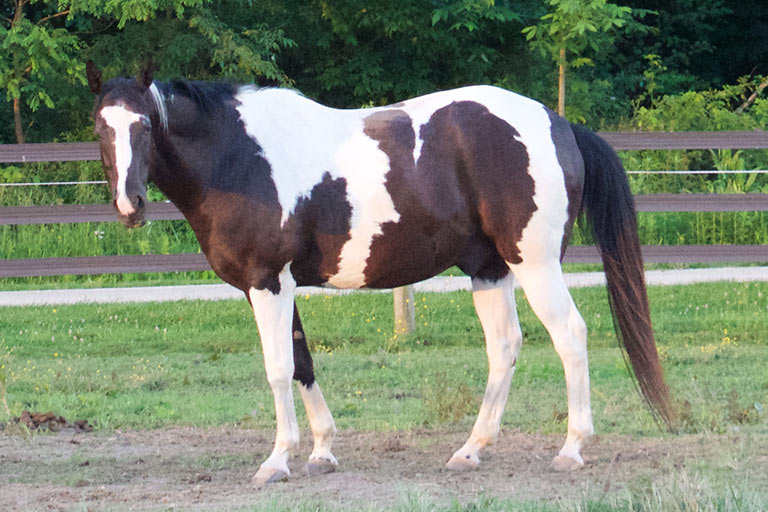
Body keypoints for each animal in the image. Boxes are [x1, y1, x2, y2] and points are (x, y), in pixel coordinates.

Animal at [85, 62, 672, 482]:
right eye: (100, 127)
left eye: (143, 124)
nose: (130, 205)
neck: (241, 157)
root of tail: (558, 124)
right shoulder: (277, 287)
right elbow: (302, 363)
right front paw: (322, 451)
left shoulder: (268, 283)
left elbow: (278, 368)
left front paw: (277, 460)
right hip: (490, 270)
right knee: (504, 346)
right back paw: (470, 450)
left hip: (536, 264)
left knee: (569, 335)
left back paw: (571, 449)